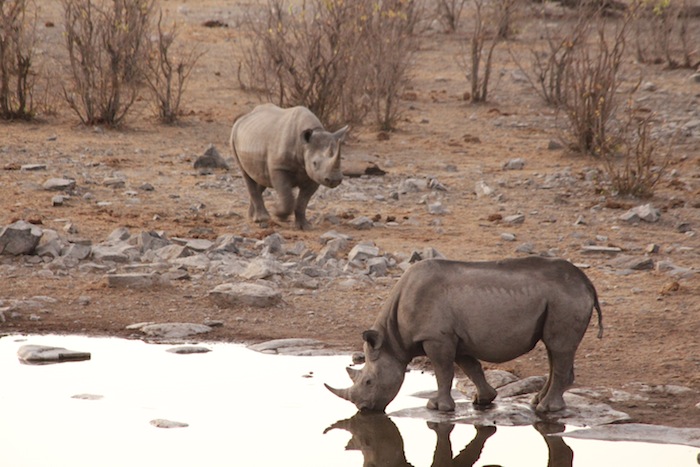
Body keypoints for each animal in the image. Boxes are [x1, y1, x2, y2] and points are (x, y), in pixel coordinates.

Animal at [326, 258, 604, 414]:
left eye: (368, 382)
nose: (363, 409)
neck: (393, 341)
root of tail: (587, 284)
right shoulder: (455, 338)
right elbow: (471, 367)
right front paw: (483, 399)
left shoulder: (437, 338)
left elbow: (443, 371)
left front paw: (438, 407)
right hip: (559, 298)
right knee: (553, 350)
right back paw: (537, 402)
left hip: (565, 298)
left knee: (558, 347)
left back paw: (547, 408)